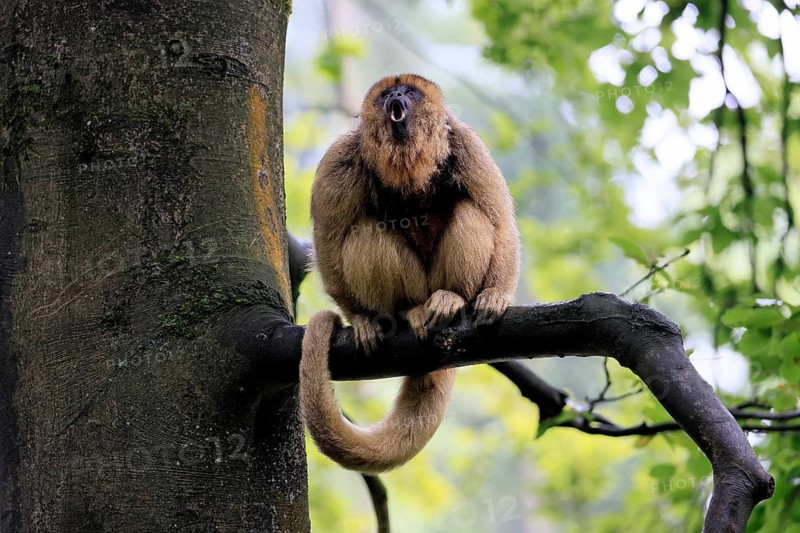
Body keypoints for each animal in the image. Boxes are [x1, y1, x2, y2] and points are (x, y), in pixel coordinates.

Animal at [300, 74, 520, 474]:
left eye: (410, 92)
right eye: (389, 93)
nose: (398, 97)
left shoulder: (467, 144)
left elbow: (499, 221)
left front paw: (496, 295)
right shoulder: (340, 157)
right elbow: (328, 239)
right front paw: (360, 318)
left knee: (471, 211)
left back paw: (451, 300)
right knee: (364, 229)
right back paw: (403, 312)